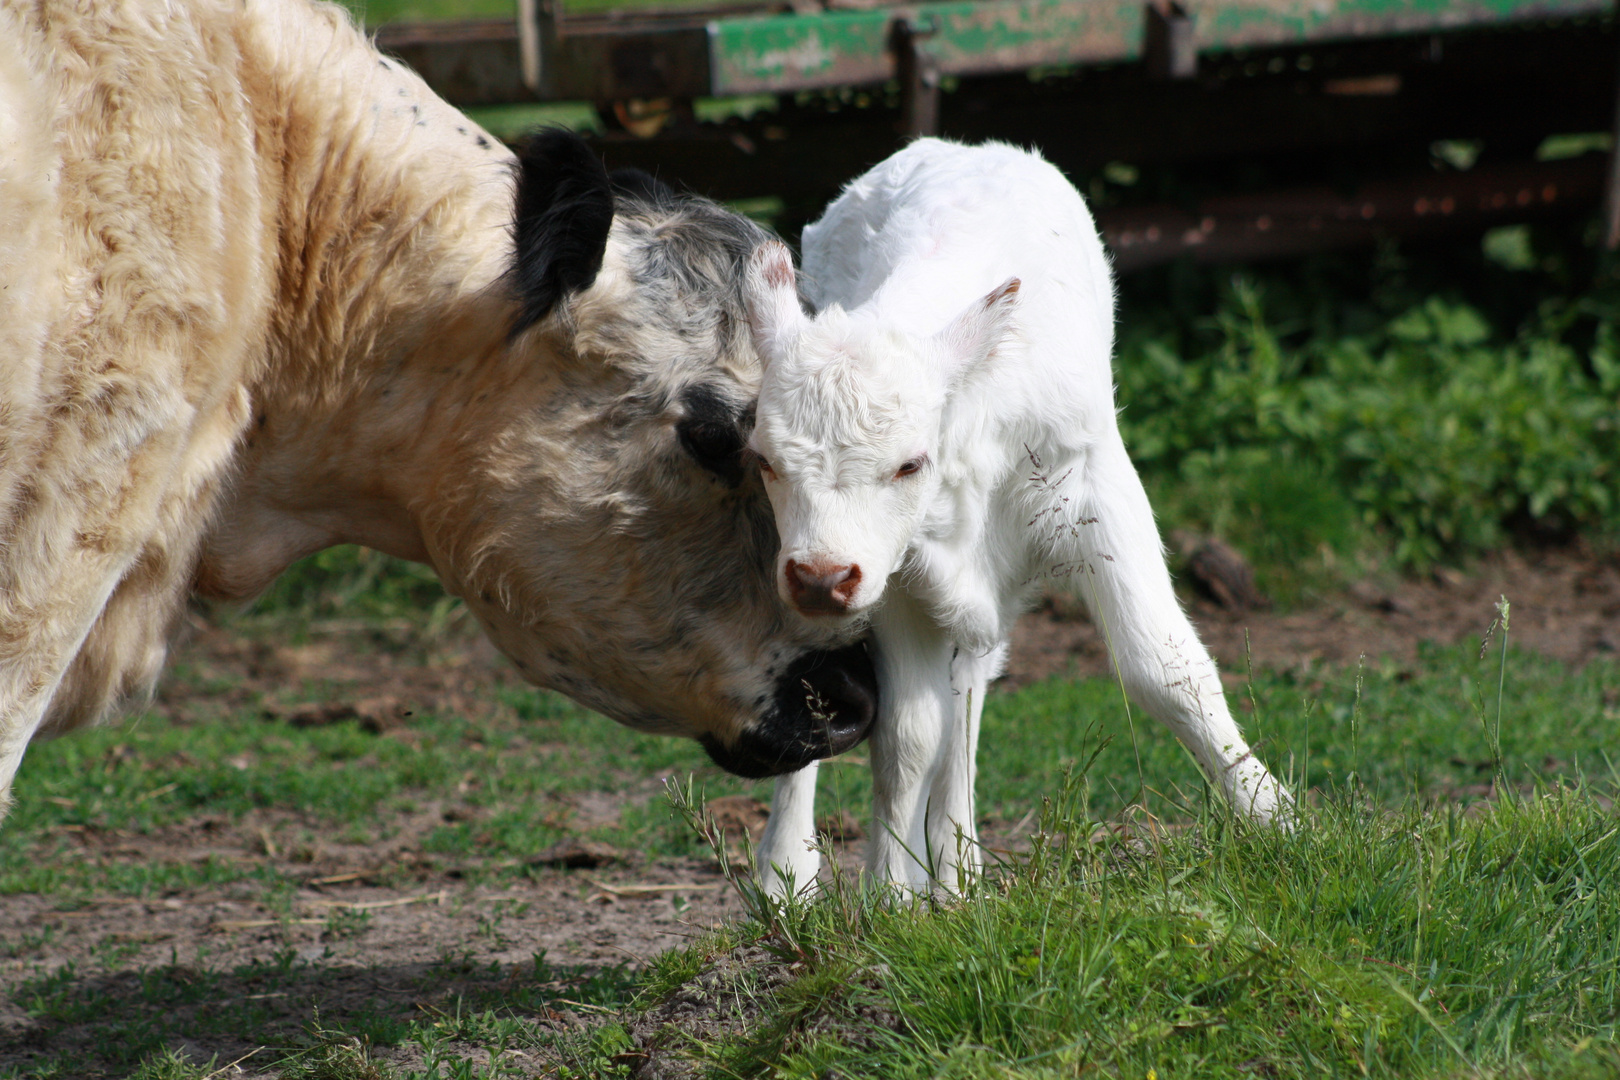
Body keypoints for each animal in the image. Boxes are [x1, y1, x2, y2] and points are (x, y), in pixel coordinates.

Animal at [745, 137, 1289, 893]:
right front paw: (890, 894)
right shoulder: (897, 573)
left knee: (969, 684)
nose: (822, 577)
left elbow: (1167, 668)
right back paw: (788, 870)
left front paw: (1281, 821)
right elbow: (906, 736)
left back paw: (957, 868)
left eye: (911, 463)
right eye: (764, 458)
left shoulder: (1097, 486)